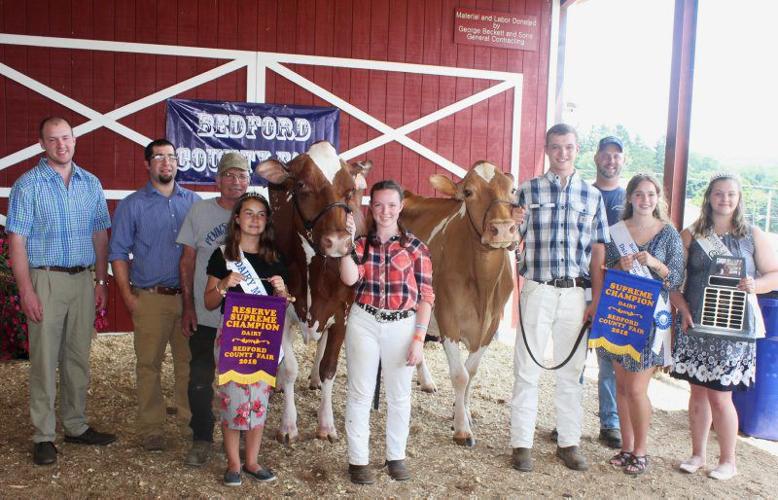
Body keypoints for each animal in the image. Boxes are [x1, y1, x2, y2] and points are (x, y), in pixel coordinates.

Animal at [256, 140, 372, 442]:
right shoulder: (284, 308)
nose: (339, 242)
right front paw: (288, 425)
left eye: (350, 191)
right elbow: (289, 368)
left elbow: (329, 367)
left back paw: (315, 380)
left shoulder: (342, 315)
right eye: (301, 186)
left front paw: (326, 424)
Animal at [398, 162, 520, 448]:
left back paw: (426, 381)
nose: (503, 228)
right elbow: (460, 375)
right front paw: (462, 429)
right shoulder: (448, 318)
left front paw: (462, 411)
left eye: (512, 190)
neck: (483, 287)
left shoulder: (492, 323)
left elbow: (471, 371)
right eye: (468, 192)